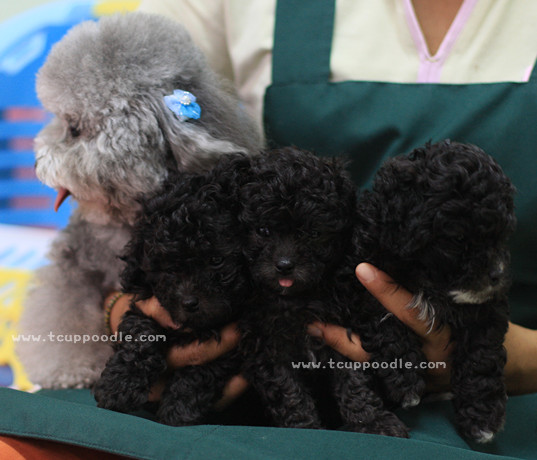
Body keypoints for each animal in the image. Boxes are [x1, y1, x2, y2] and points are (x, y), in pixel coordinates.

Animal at [92, 155, 251, 428]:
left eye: (216, 260)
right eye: (167, 266)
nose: (189, 302)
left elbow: (205, 368)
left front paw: (179, 410)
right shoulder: (147, 305)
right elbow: (140, 335)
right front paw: (117, 386)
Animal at [238, 147, 406, 434]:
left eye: (313, 233)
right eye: (263, 230)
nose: (285, 265)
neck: (299, 299)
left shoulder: (343, 330)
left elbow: (353, 381)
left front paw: (371, 420)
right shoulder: (265, 347)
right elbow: (288, 391)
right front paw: (303, 427)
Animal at [356, 140, 516, 442]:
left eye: (501, 234)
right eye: (458, 239)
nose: (498, 275)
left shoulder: (488, 308)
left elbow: (482, 353)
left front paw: (482, 415)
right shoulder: (360, 273)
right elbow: (381, 313)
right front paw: (404, 375)